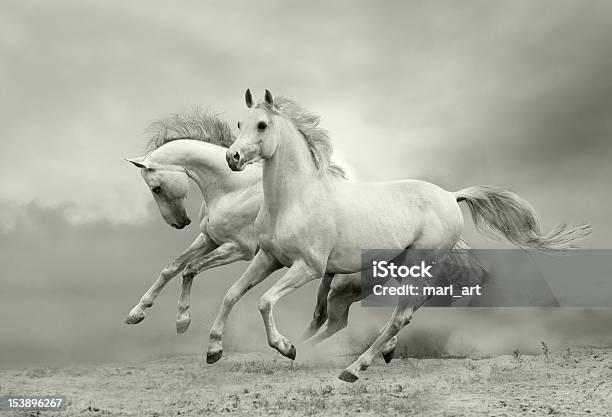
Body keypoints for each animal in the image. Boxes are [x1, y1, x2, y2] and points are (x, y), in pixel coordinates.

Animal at [227, 90, 592, 380]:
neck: (296, 198)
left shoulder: (308, 267)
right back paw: (364, 352)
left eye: (262, 125)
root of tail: (451, 196)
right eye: (239, 124)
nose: (232, 157)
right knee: (401, 310)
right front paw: (217, 349)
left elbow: (264, 300)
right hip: (400, 267)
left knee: (398, 315)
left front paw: (284, 347)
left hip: (414, 265)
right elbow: (233, 294)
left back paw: (353, 368)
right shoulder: (269, 258)